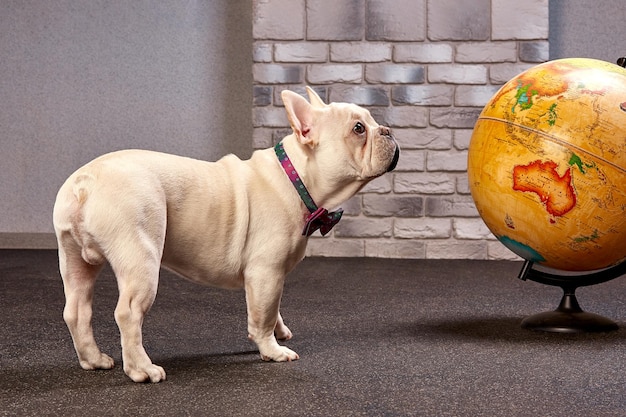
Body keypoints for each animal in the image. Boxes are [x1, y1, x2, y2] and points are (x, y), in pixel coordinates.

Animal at [52, 86, 394, 382]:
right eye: (359, 129)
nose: (387, 130)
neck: (296, 175)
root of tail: (85, 182)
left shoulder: (268, 278)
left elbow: (271, 307)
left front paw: (279, 331)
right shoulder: (266, 271)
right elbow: (263, 314)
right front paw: (272, 350)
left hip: (74, 259)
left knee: (76, 311)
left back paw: (94, 359)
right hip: (141, 258)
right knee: (128, 313)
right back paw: (142, 370)